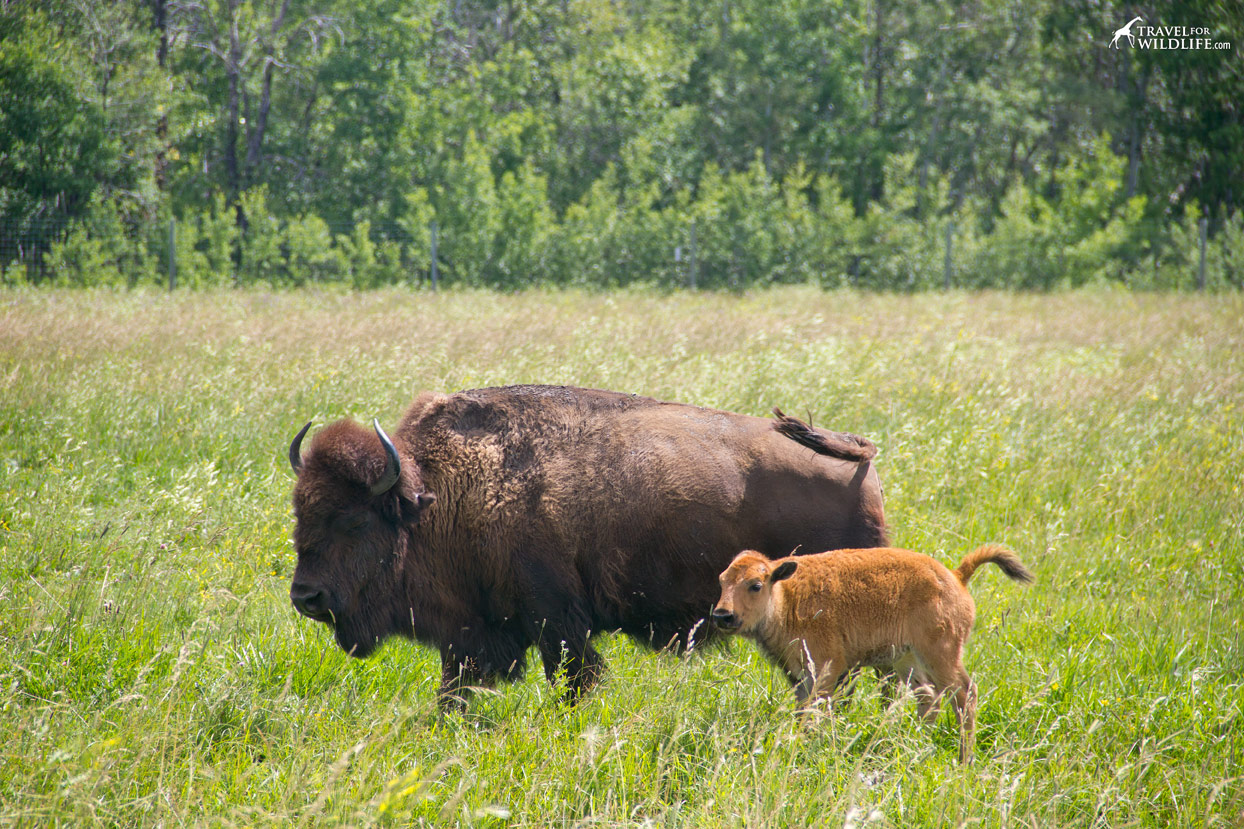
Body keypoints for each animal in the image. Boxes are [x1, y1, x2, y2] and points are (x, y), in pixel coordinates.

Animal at [286, 383, 885, 707]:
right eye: (300, 512)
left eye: (354, 522)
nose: (306, 597)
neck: (440, 491)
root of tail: (860, 459)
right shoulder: (473, 635)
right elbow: (455, 691)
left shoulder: (557, 622)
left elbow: (575, 678)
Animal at [711, 542, 1030, 761]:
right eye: (722, 581)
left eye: (755, 585)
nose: (722, 615)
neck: (786, 595)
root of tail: (955, 576)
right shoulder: (801, 675)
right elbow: (804, 711)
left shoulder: (827, 669)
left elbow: (819, 710)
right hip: (907, 660)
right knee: (929, 697)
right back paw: (915, 744)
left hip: (941, 655)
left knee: (965, 694)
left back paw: (964, 759)